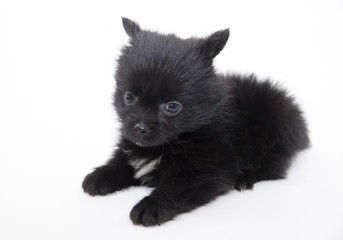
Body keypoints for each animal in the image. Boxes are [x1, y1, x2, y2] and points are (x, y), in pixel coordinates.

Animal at [82, 17, 310, 226]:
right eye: (128, 98)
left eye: (172, 107)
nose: (140, 128)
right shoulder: (132, 147)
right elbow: (120, 161)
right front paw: (100, 176)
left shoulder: (207, 171)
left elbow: (175, 187)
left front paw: (150, 206)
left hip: (279, 126)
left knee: (275, 164)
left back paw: (246, 178)